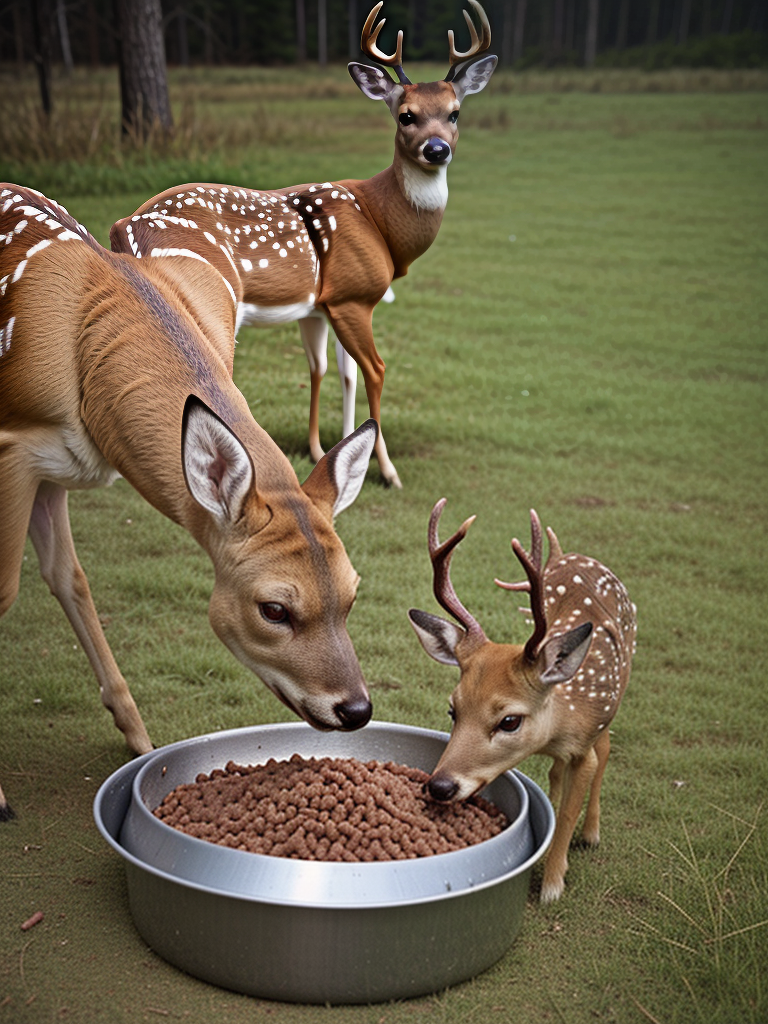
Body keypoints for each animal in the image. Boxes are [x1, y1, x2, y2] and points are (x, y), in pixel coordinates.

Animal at [0, 184, 380, 821]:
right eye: (274, 609)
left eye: (352, 595)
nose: (355, 709)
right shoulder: (12, 446)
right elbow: (6, 590)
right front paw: (1, 798)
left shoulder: (49, 468)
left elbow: (68, 576)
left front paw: (138, 736)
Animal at [109, 1, 498, 490]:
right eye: (405, 115)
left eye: (455, 113)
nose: (436, 149)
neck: (381, 220)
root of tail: (122, 226)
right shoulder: (355, 295)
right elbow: (375, 371)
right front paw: (387, 470)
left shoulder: (319, 306)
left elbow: (330, 371)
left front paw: (325, 450)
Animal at [408, 499, 637, 902]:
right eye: (453, 709)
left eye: (509, 720)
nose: (440, 786)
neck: (561, 721)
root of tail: (567, 554)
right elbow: (556, 789)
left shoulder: (585, 744)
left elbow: (569, 812)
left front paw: (552, 886)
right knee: (557, 771)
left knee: (607, 747)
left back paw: (591, 833)